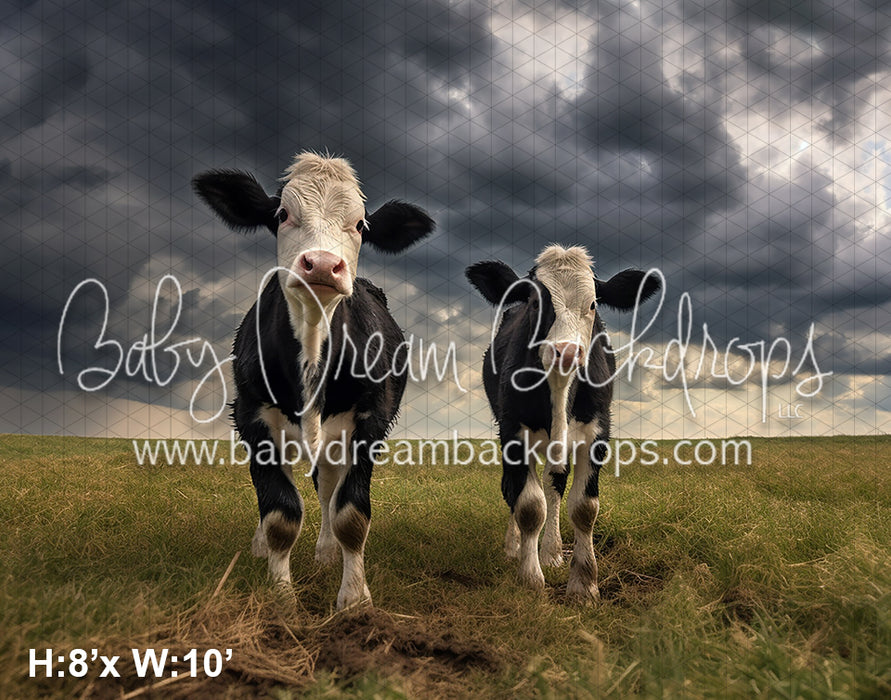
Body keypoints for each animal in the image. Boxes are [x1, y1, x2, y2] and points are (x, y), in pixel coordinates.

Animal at [192, 152, 433, 610]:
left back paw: (325, 552)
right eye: (282, 214)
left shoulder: (369, 420)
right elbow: (280, 513)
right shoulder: (251, 416)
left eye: (360, 225)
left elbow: (350, 514)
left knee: (326, 490)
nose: (321, 264)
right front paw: (281, 597)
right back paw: (262, 547)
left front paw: (354, 599)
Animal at [466, 245, 659, 603]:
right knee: (515, 490)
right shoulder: (512, 432)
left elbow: (583, 507)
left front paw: (584, 584)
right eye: (535, 302)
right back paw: (515, 547)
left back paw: (552, 551)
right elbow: (528, 505)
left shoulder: (598, 432)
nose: (566, 352)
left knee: (554, 484)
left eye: (593, 304)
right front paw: (529, 577)